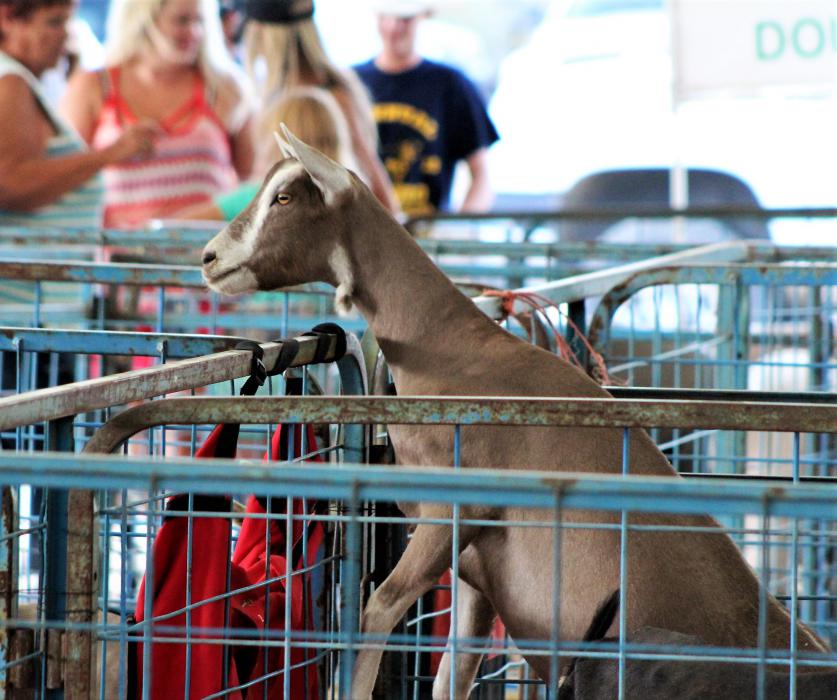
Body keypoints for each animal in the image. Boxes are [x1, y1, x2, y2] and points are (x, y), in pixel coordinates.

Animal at [201, 127, 828, 699]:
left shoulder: (452, 510)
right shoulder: (478, 569)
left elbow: (376, 611)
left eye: (284, 197)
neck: (454, 350)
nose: (208, 258)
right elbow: (454, 673)